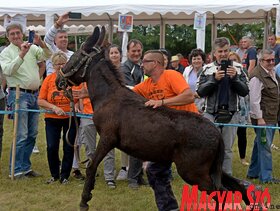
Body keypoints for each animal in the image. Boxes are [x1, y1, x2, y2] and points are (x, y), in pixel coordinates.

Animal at [55, 26, 250, 211]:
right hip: (209, 168)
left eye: (76, 56)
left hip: (193, 172)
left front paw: (84, 200)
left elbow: (91, 167)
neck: (108, 96)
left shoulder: (107, 139)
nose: (58, 80)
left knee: (222, 194)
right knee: (238, 186)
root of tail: (216, 133)